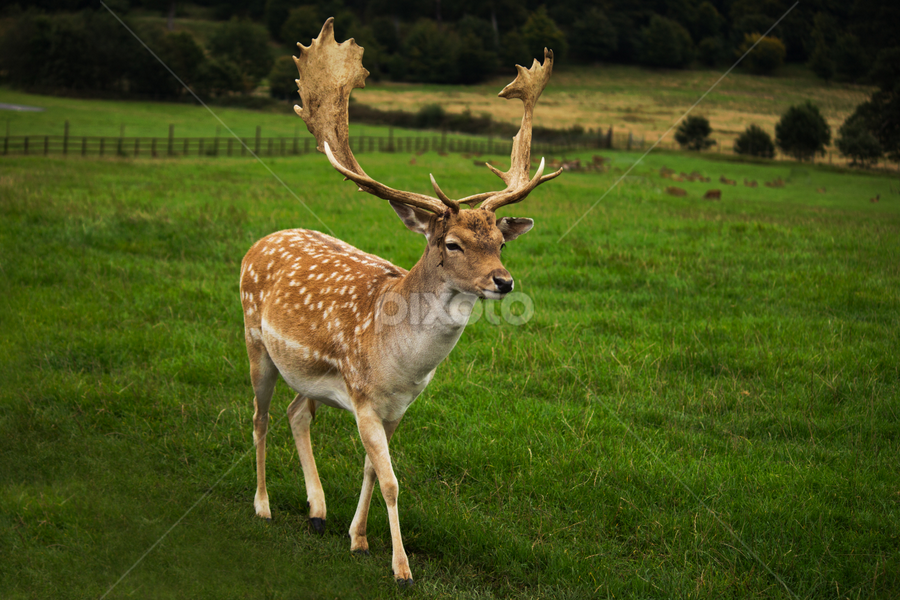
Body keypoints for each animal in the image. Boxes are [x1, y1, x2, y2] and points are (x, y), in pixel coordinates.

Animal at [239, 18, 561, 586]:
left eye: (499, 243)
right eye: (452, 243)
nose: (503, 282)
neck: (400, 364)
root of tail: (260, 241)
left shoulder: (396, 408)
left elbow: (374, 468)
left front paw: (358, 538)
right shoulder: (364, 397)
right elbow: (391, 480)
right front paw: (401, 567)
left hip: (309, 374)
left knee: (298, 412)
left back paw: (317, 512)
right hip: (255, 341)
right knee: (259, 416)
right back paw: (263, 506)